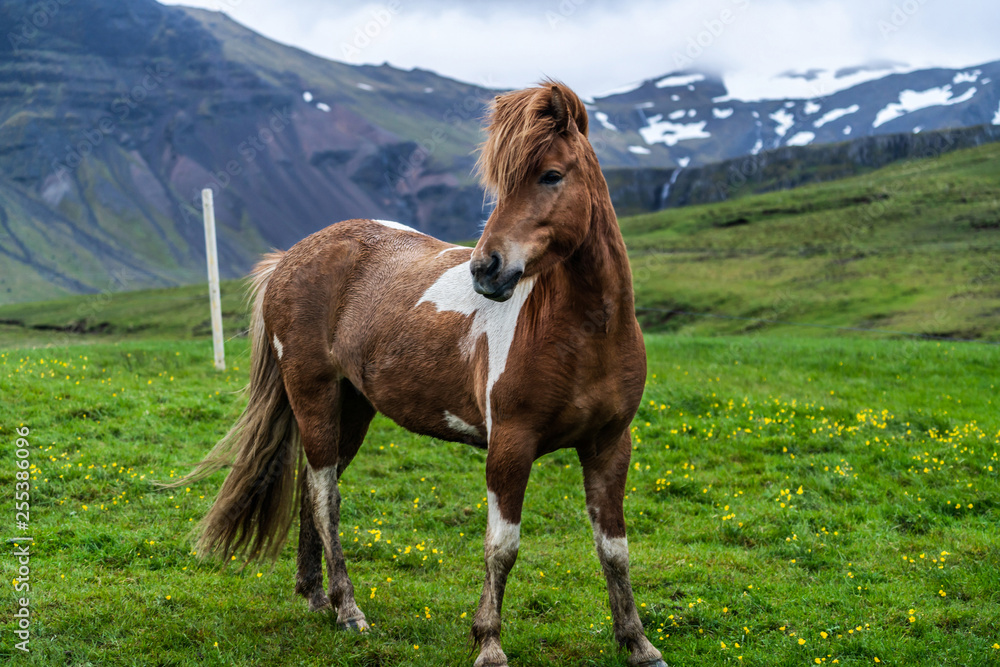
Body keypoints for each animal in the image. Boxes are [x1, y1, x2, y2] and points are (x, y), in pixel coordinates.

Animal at [178, 81, 664, 664]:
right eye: (500, 183)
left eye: (551, 174)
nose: (486, 269)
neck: (584, 333)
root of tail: (291, 258)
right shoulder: (511, 444)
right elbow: (502, 547)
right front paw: (489, 642)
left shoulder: (610, 446)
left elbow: (614, 549)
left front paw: (637, 641)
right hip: (314, 396)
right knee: (323, 495)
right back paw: (348, 609)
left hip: (352, 409)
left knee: (311, 490)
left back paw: (316, 595)